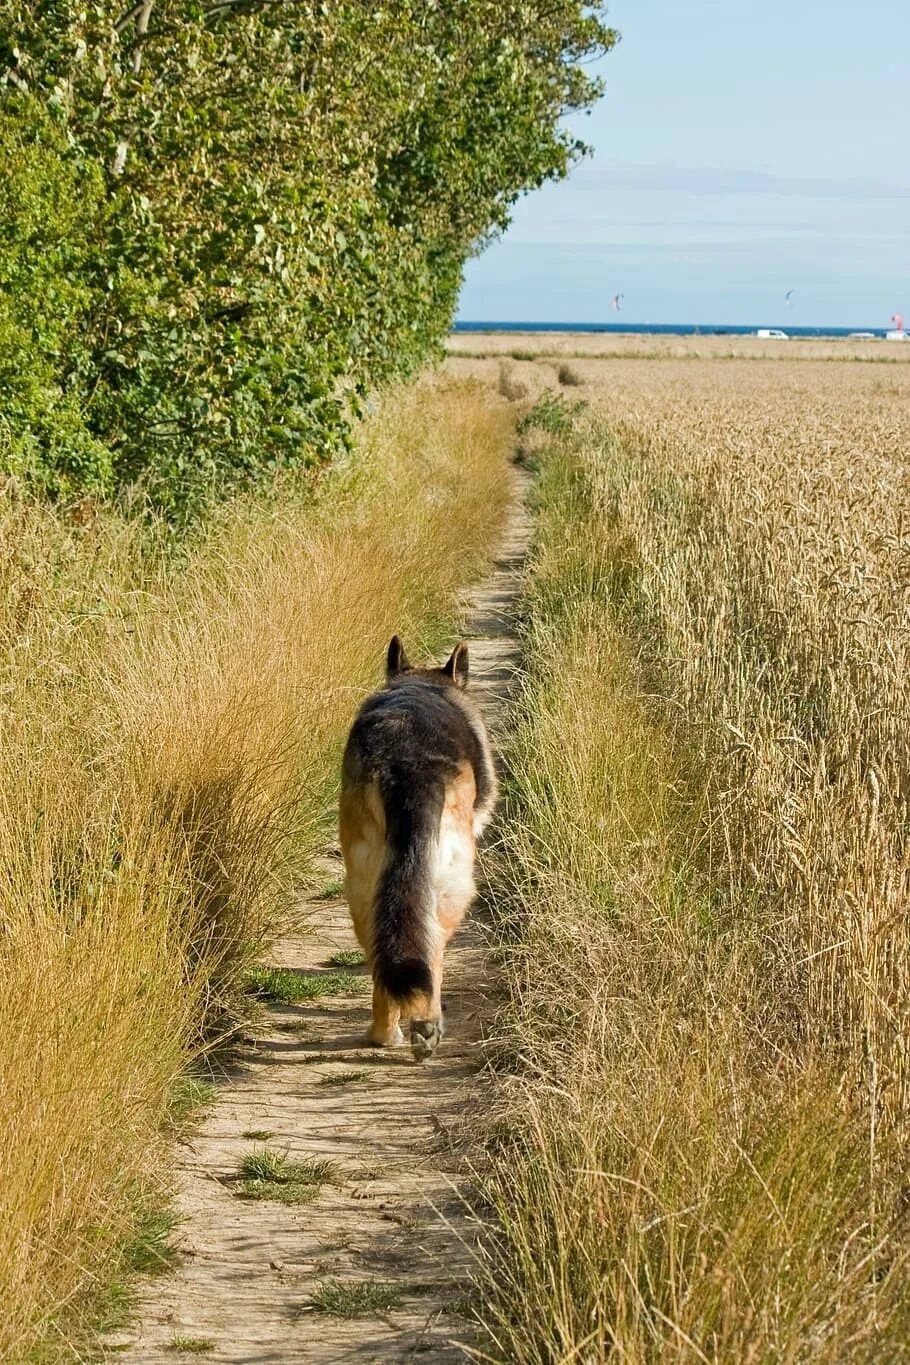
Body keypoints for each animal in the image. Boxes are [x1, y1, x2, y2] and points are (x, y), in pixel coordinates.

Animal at [341, 633, 499, 1059]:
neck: (423, 682)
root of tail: (406, 761)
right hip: (453, 884)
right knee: (433, 949)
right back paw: (425, 1024)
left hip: (363, 881)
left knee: (383, 954)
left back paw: (383, 1033)